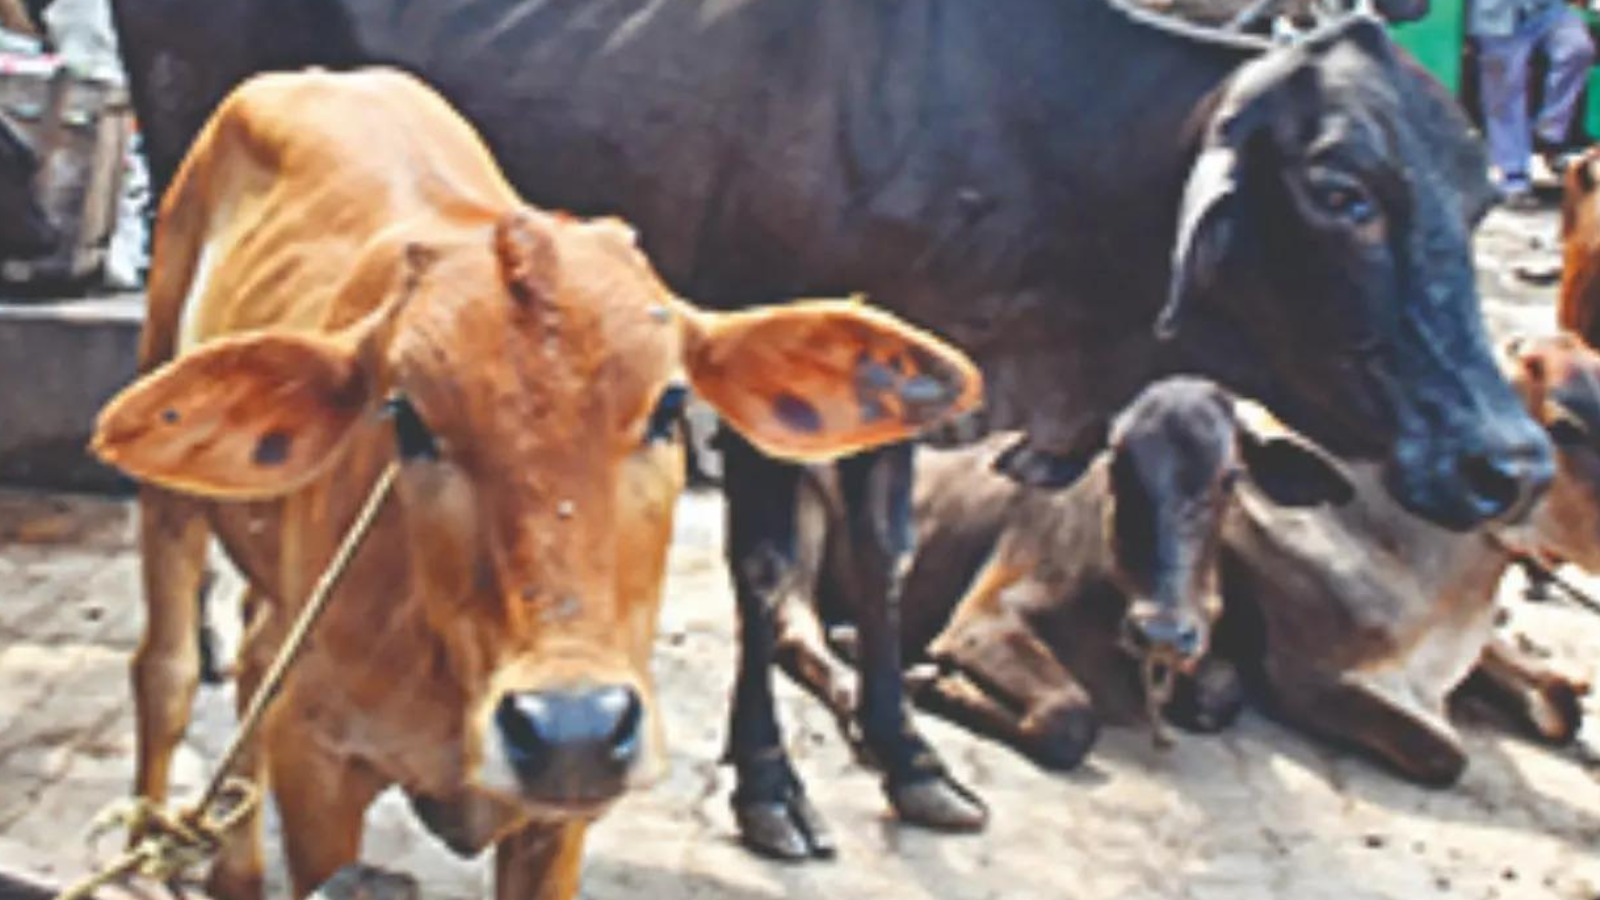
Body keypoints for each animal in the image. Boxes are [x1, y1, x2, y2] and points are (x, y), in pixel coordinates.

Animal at [89, 68, 980, 900]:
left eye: (670, 406)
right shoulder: (317, 766)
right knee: (166, 667)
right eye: (406, 417)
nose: (571, 728)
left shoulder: (559, 820)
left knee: (253, 653)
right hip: (167, 462)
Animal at [768, 377, 1352, 774]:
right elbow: (1070, 718)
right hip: (800, 524)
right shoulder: (981, 621)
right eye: (1116, 463)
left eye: (1230, 476)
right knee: (796, 628)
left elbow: (1222, 695)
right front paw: (927, 681)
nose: (1161, 631)